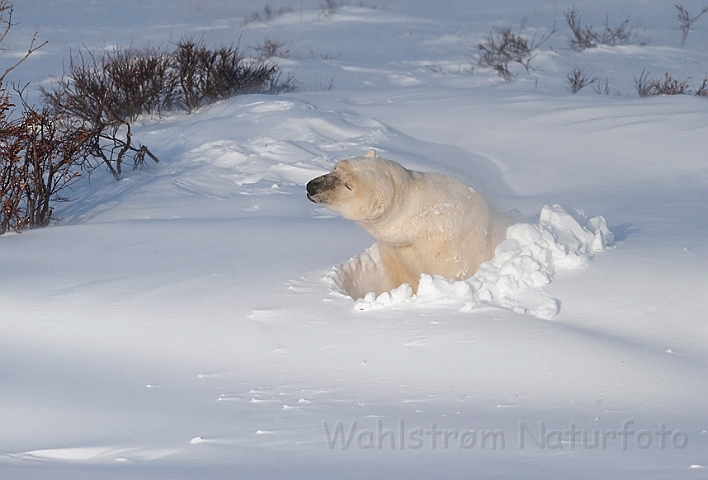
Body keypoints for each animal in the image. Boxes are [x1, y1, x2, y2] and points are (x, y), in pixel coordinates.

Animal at [306, 150, 512, 294]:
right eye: (336, 168)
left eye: (349, 186)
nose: (311, 186)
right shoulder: (394, 249)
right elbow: (401, 275)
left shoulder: (447, 245)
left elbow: (451, 272)